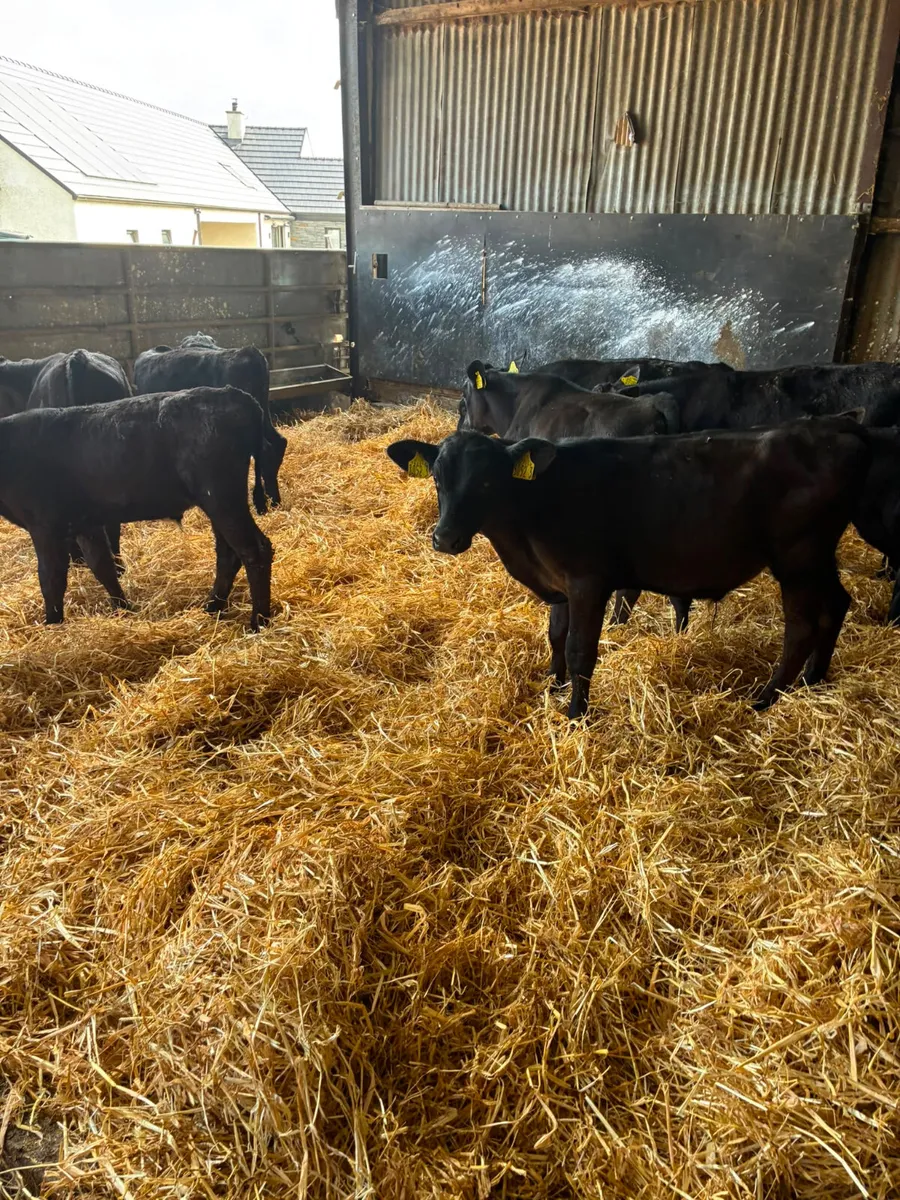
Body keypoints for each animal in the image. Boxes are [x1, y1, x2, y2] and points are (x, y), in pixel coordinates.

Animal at [0, 387, 272, 631]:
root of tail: (235, 394)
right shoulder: (86, 523)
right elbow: (103, 566)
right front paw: (123, 609)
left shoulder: (44, 526)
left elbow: (50, 578)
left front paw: (52, 625)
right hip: (217, 503)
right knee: (228, 554)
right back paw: (212, 607)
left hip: (222, 497)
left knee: (255, 550)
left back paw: (258, 621)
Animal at [386, 420, 870, 719]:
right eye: (437, 477)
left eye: (488, 480)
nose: (445, 538)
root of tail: (836, 428)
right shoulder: (560, 582)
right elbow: (556, 636)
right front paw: (552, 687)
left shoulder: (588, 581)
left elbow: (581, 649)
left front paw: (576, 714)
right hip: (817, 557)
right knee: (836, 605)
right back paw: (813, 681)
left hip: (797, 557)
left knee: (801, 626)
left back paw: (765, 699)